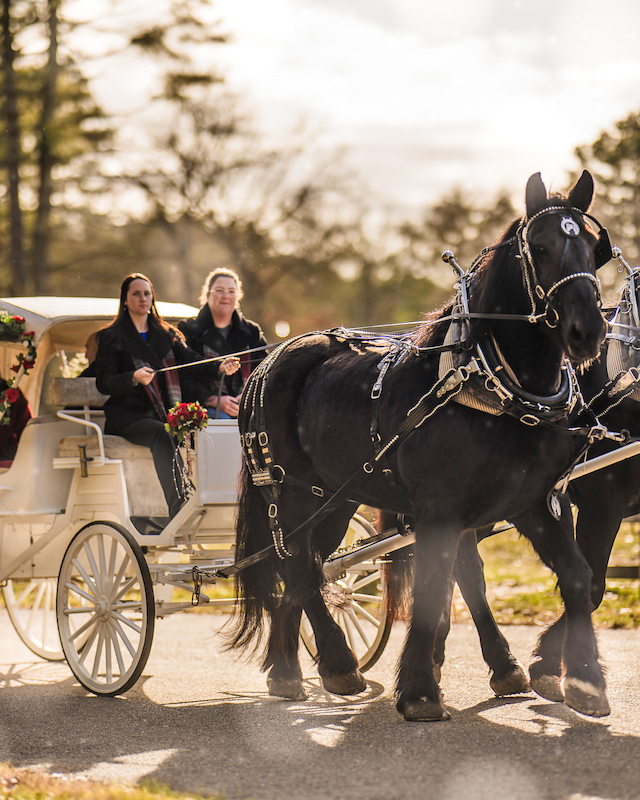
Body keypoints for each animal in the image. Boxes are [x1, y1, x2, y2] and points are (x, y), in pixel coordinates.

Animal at [232, 172, 608, 720]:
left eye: (594, 249)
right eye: (538, 247)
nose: (589, 331)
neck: (494, 384)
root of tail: (271, 357)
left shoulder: (535, 501)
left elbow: (577, 577)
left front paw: (582, 679)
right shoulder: (440, 511)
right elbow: (434, 590)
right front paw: (420, 692)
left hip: (336, 498)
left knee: (307, 567)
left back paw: (290, 669)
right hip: (295, 492)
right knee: (300, 565)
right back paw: (335, 665)